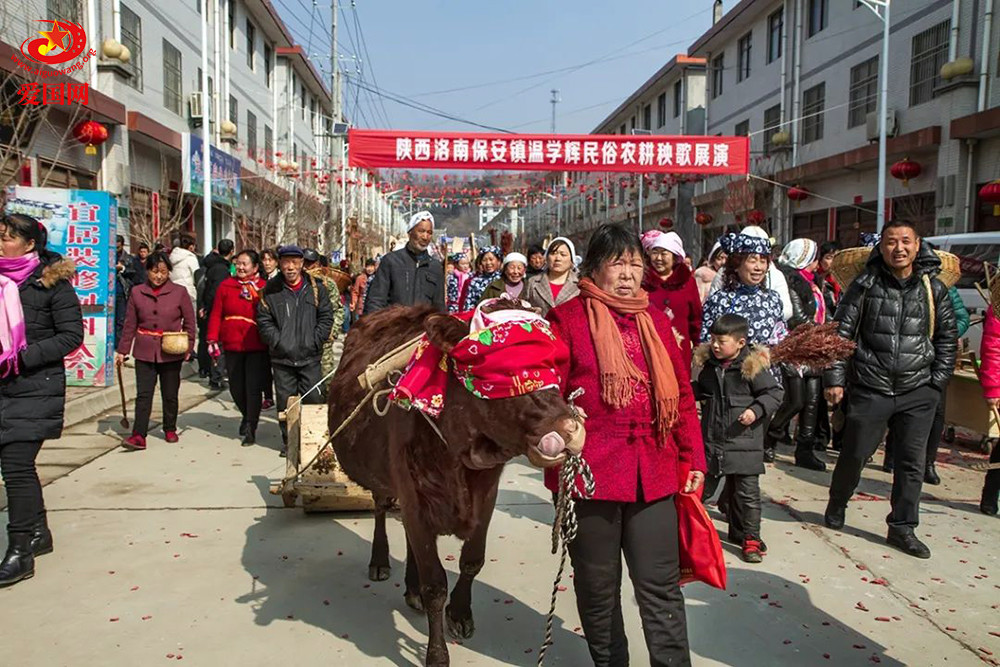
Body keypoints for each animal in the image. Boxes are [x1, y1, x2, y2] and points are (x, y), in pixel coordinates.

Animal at [328, 304, 580, 667]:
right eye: (500, 376)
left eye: (553, 368)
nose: (568, 427)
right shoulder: (414, 497)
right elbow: (435, 586)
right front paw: (436, 654)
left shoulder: (485, 498)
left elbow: (472, 561)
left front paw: (460, 613)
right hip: (384, 481)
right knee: (380, 509)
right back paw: (380, 562)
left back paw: (411, 588)